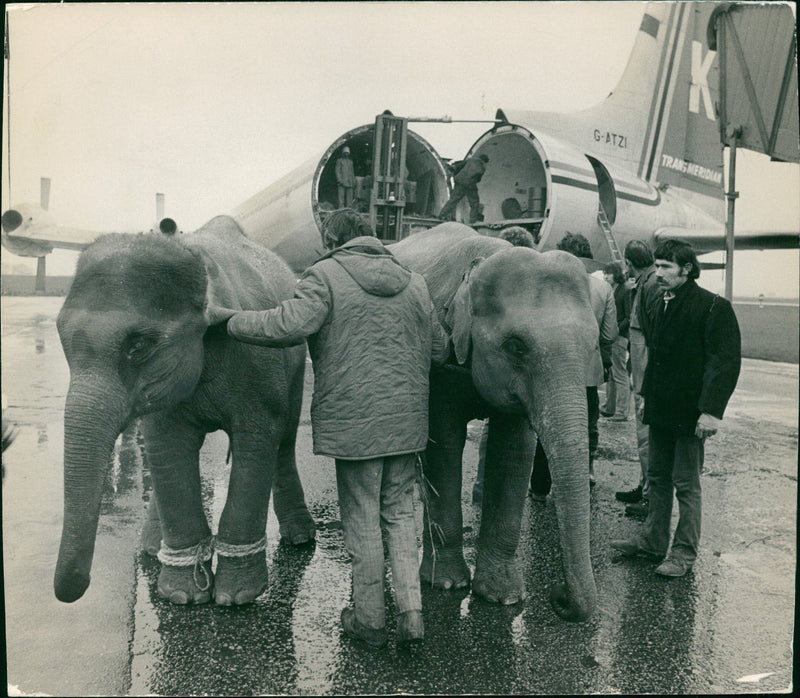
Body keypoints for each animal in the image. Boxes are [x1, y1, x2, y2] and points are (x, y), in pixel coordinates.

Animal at [53, 216, 314, 604]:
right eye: (62, 339)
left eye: (139, 345)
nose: (75, 588)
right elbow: (168, 446)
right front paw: (182, 596)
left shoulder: (258, 362)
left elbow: (258, 439)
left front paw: (237, 597)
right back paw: (151, 549)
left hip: (295, 364)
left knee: (286, 436)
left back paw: (299, 538)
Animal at [390, 223, 596, 620]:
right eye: (516, 347)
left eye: (594, 346)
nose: (558, 597)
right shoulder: (440, 369)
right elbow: (444, 445)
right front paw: (446, 585)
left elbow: (514, 453)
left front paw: (504, 598)